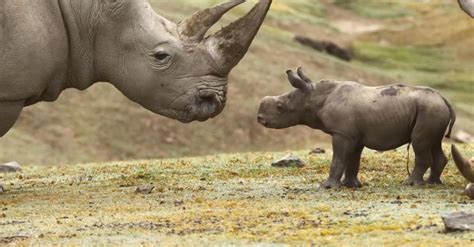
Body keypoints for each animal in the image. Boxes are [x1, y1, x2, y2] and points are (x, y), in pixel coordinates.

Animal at [260, 67, 456, 189]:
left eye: (280, 107)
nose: (259, 118)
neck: (314, 96)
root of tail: (444, 99)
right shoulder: (353, 135)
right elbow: (353, 160)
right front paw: (351, 185)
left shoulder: (341, 133)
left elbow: (338, 158)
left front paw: (327, 186)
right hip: (432, 110)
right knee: (433, 142)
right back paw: (432, 183)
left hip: (429, 109)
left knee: (420, 142)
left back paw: (410, 184)